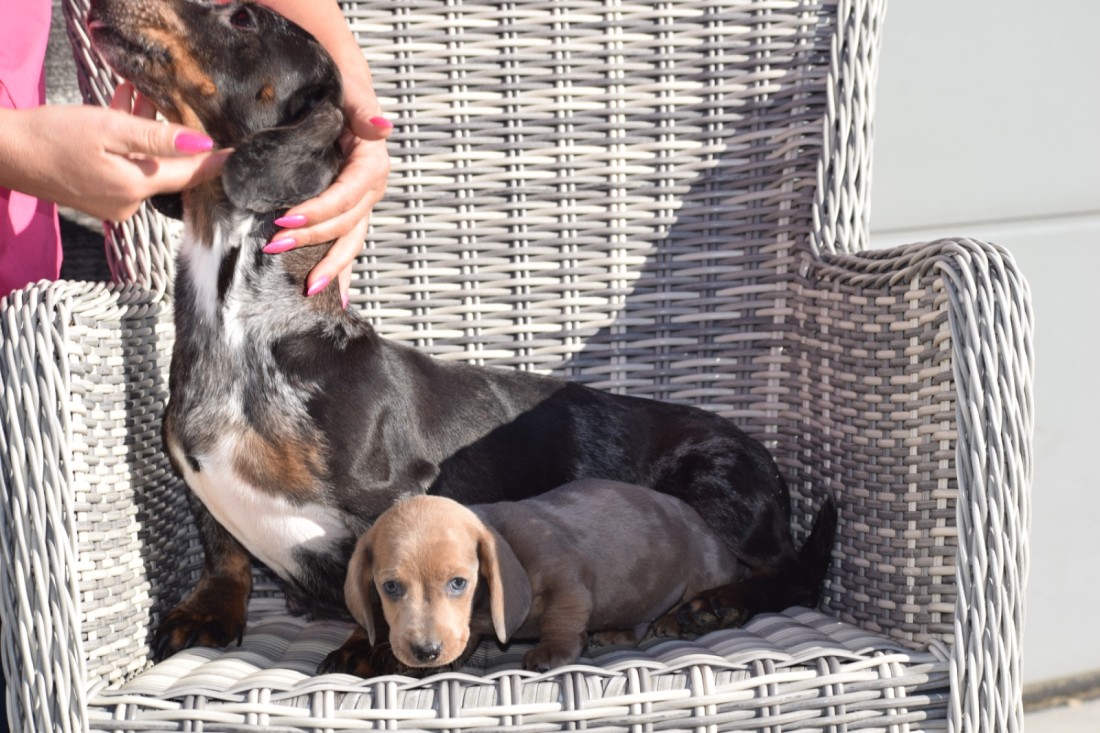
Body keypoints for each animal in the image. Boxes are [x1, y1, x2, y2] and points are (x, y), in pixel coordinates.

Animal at [345, 480, 742, 672]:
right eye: (390, 587)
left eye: (459, 583)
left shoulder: (567, 579)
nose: (426, 652)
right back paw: (619, 632)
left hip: (705, 571)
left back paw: (674, 619)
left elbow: (560, 620)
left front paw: (552, 653)